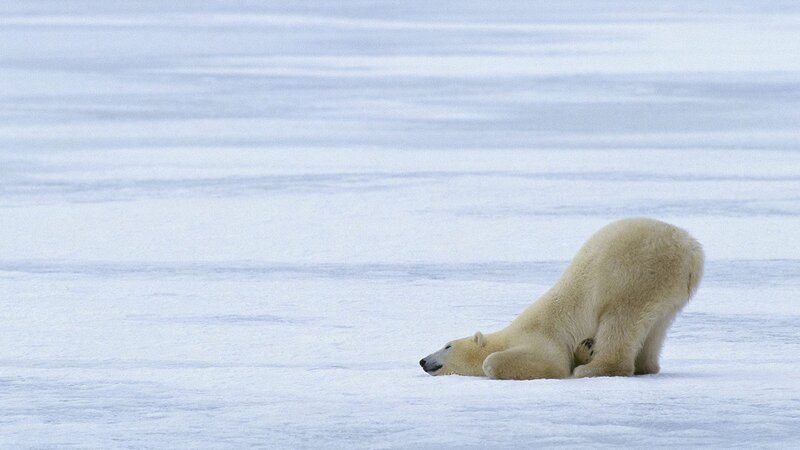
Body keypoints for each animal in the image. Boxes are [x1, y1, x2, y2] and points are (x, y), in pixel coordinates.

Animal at [419, 217, 704, 379]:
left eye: (447, 345)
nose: (422, 360)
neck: (508, 335)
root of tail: (690, 249)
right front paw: (584, 350)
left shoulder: (541, 338)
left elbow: (545, 363)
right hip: (668, 290)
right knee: (656, 327)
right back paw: (645, 365)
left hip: (635, 274)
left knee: (621, 320)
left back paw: (594, 369)